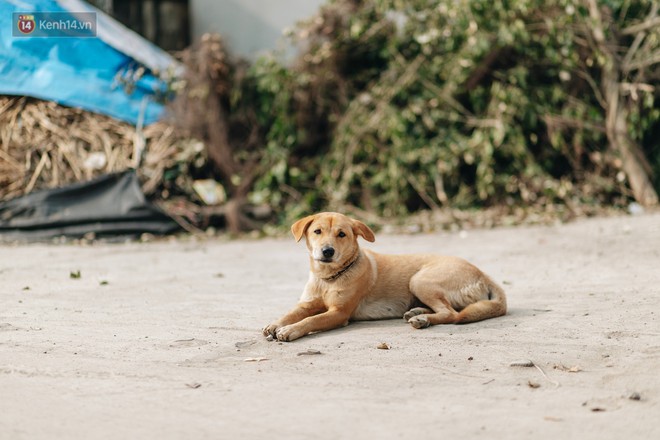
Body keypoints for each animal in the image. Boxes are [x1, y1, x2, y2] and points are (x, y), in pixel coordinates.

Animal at [262, 211, 506, 342]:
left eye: (342, 234)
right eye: (317, 231)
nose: (327, 251)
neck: (328, 279)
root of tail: (483, 273)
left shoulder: (339, 313)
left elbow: (310, 320)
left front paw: (290, 330)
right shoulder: (307, 303)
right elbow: (292, 313)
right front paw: (276, 324)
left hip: (420, 280)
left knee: (452, 314)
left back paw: (422, 319)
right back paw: (418, 313)